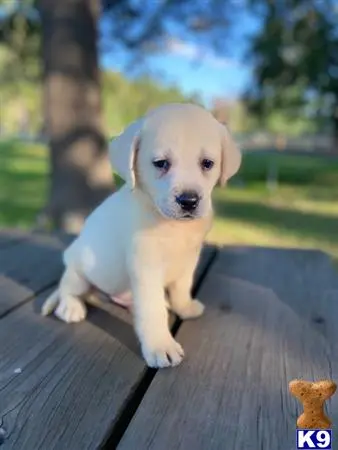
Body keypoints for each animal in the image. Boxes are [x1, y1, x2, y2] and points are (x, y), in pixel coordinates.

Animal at [42, 103, 242, 368]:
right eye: (160, 163)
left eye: (207, 163)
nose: (189, 201)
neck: (171, 225)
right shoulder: (146, 267)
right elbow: (153, 310)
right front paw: (160, 346)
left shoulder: (189, 259)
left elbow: (182, 287)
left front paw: (184, 307)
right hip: (78, 271)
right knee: (67, 288)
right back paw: (71, 307)